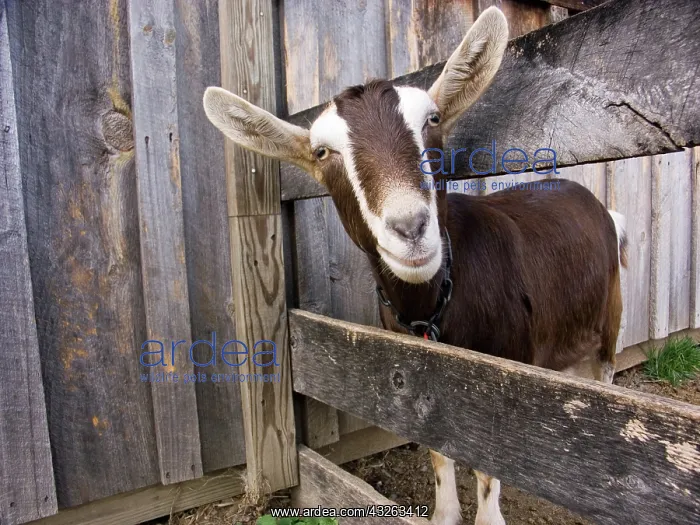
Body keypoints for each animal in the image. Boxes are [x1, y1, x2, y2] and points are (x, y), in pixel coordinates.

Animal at [203, 7, 627, 525]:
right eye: (322, 152)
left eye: (433, 118)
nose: (409, 227)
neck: (435, 306)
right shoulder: (424, 379)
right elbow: (440, 451)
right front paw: (445, 513)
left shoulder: (504, 380)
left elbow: (489, 470)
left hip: (608, 324)